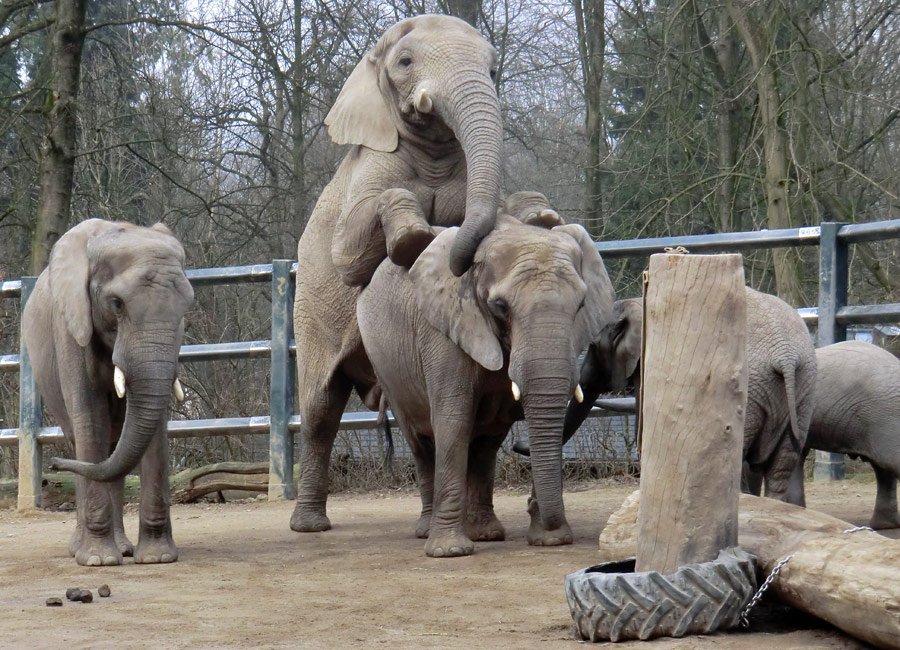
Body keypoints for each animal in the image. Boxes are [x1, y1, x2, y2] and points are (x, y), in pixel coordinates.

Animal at [23, 218, 192, 560]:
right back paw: (83, 550)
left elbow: (154, 429)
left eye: (186, 307)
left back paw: (124, 548)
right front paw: (97, 560)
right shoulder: (71, 325)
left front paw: (156, 558)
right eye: (116, 304)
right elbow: (90, 417)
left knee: (111, 450)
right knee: (86, 442)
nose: (53, 464)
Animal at [292, 15, 544, 532]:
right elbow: (348, 256)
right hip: (309, 305)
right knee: (321, 409)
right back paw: (310, 526)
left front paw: (537, 217)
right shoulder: (370, 166)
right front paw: (410, 238)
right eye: (405, 62)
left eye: (492, 69)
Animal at [512, 286, 816, 504]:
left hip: (751, 386)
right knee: (781, 466)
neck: (636, 301)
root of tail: (785, 354)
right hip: (802, 390)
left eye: (593, 346)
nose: (516, 446)